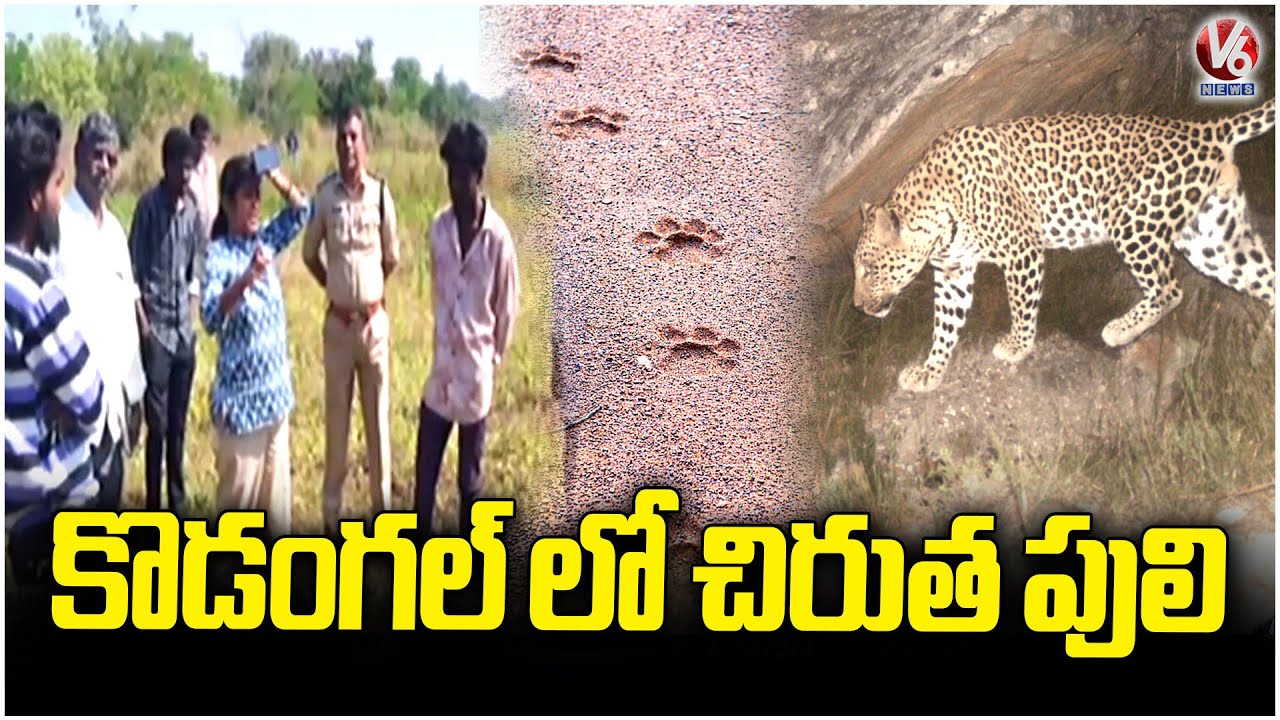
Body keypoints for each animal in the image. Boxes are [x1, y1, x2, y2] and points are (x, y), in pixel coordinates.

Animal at [852, 97, 1276, 394]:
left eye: (870, 269)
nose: (856, 306)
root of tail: (1204, 129)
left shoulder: (1021, 252)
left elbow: (1021, 304)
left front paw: (1018, 346)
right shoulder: (953, 272)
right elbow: (945, 324)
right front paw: (930, 371)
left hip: (1131, 219)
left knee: (1168, 288)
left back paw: (1119, 330)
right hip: (1212, 238)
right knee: (1267, 278)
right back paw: (1266, 347)